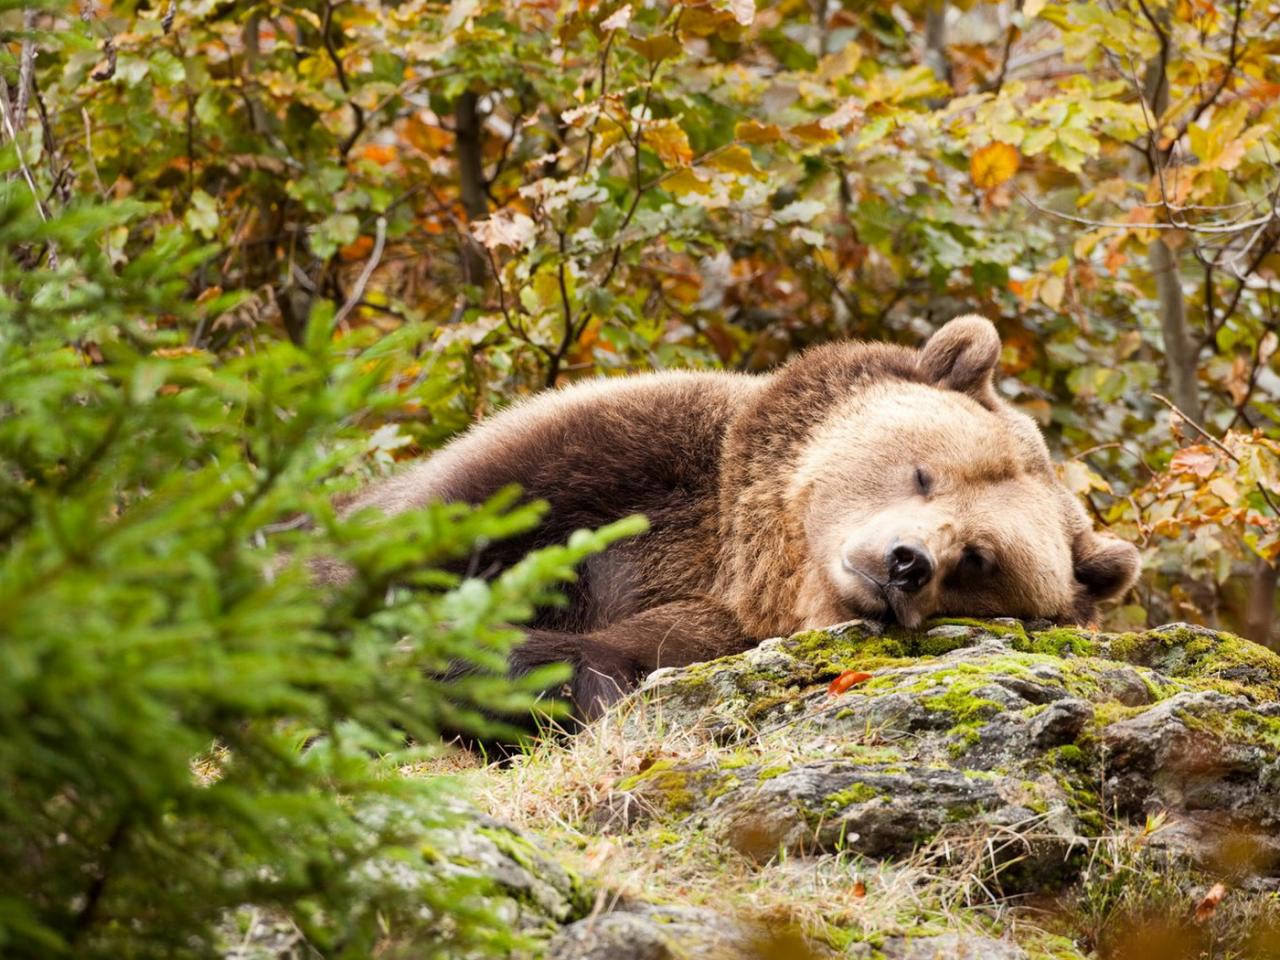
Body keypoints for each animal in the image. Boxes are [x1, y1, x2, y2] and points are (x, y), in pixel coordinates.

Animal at [332, 320, 1141, 716]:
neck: (744, 554)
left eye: (979, 557)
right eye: (925, 473)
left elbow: (599, 662)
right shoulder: (623, 456)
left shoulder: (720, 630)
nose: (906, 563)